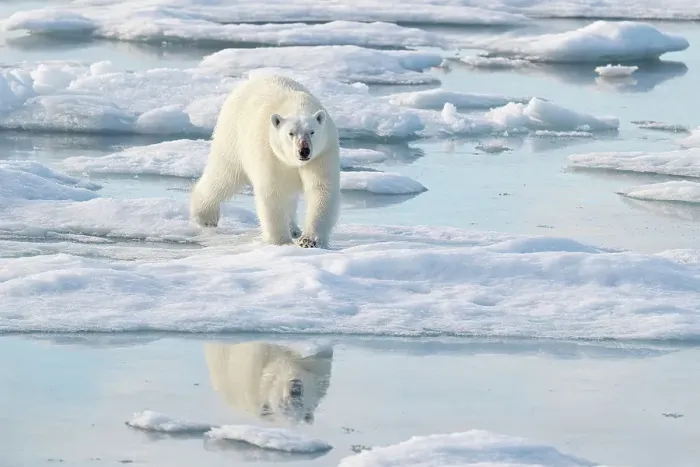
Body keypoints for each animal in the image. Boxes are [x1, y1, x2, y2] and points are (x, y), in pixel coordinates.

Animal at [189, 73, 341, 249]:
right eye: (291, 133)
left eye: (312, 131)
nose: (304, 151)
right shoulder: (270, 153)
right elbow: (272, 191)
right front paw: (282, 241)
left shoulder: (322, 154)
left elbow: (321, 190)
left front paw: (309, 240)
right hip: (232, 137)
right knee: (223, 176)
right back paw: (205, 217)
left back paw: (294, 228)